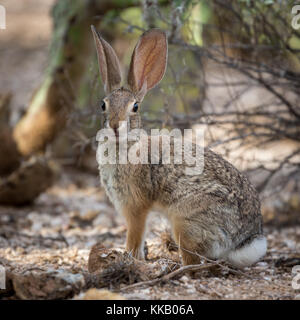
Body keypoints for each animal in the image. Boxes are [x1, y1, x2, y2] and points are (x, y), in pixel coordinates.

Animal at [91, 26, 268, 268]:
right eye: (103, 104)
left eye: (135, 107)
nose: (115, 126)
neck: (125, 144)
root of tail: (243, 241)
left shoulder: (135, 206)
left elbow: (135, 235)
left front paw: (130, 257)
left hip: (185, 223)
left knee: (195, 261)